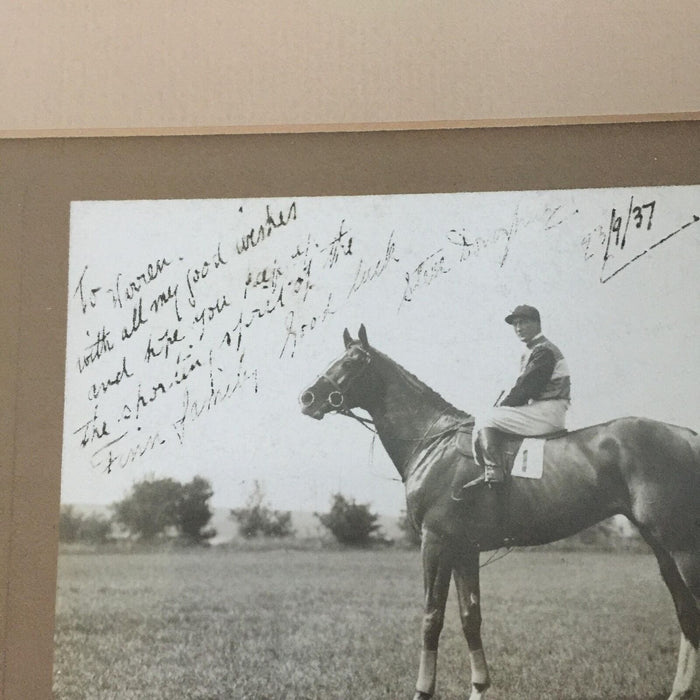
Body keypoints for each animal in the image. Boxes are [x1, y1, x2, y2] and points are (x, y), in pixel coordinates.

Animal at [300, 326, 700, 700]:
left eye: (351, 362)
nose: (308, 398)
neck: (433, 442)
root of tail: (689, 436)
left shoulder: (435, 543)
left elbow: (432, 617)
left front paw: (423, 690)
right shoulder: (464, 550)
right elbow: (470, 616)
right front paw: (478, 687)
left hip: (682, 548)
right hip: (662, 549)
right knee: (686, 612)